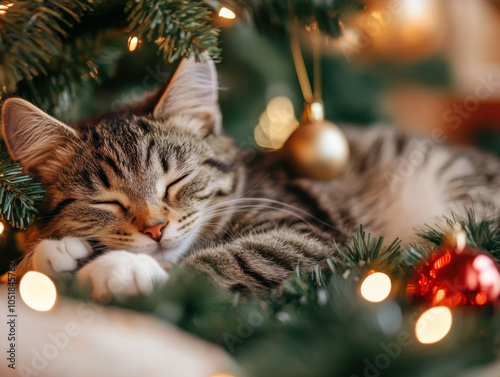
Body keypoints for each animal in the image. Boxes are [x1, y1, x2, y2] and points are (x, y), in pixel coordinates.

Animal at [2, 55, 500, 298]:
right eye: (107, 202)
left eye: (176, 181)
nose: (156, 229)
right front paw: (48, 256)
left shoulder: (311, 235)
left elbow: (222, 261)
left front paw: (118, 270)